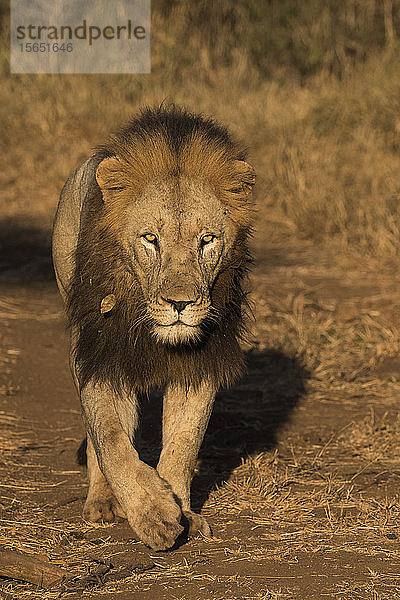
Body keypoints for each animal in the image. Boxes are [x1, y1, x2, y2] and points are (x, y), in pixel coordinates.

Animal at [51, 105, 255, 552]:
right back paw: (103, 501)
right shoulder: (100, 353)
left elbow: (184, 443)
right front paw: (152, 513)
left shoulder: (200, 363)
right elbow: (110, 438)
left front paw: (183, 513)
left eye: (207, 240)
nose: (180, 304)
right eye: (150, 239)